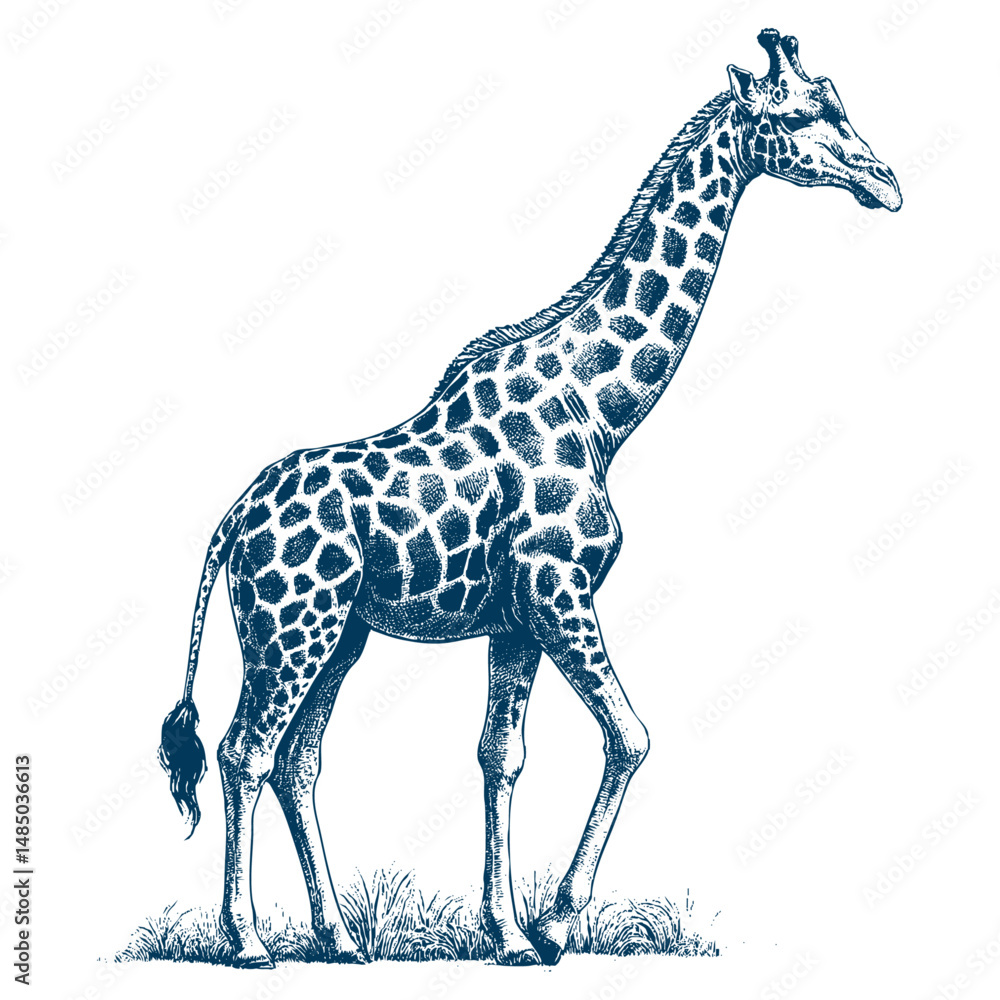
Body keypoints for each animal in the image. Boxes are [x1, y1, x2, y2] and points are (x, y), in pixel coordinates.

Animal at [159, 29, 901, 969]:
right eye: (805, 114)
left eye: (839, 101)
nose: (887, 182)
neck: (600, 410)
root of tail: (231, 521)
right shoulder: (559, 591)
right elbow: (630, 735)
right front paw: (552, 921)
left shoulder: (515, 617)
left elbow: (500, 756)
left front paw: (508, 931)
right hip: (291, 628)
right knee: (244, 751)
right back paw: (249, 940)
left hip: (339, 634)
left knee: (297, 761)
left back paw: (339, 939)